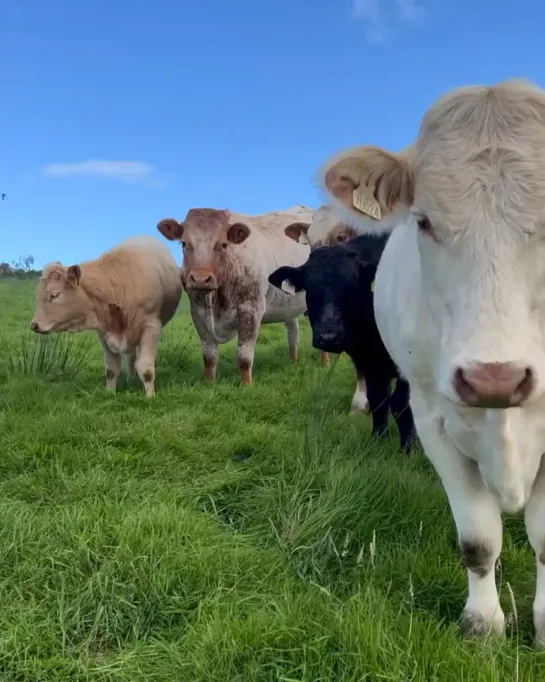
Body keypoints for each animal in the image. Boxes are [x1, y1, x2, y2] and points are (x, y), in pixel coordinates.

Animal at [30, 235, 182, 394]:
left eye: (54, 295)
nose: (34, 325)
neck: (118, 285)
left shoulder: (151, 327)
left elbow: (146, 370)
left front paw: (150, 395)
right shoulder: (104, 333)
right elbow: (111, 369)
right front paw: (110, 393)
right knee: (130, 357)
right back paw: (131, 379)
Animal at [156, 205, 314, 382]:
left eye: (223, 244)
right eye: (184, 243)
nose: (200, 279)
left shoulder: (251, 309)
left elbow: (244, 356)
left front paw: (247, 384)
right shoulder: (197, 313)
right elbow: (209, 356)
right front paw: (209, 382)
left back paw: (324, 362)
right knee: (293, 332)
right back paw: (293, 361)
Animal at [270, 232, 414, 452]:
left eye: (353, 287)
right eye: (309, 288)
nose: (329, 336)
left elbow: (402, 405)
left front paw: (408, 450)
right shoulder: (368, 362)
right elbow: (378, 401)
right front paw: (377, 440)